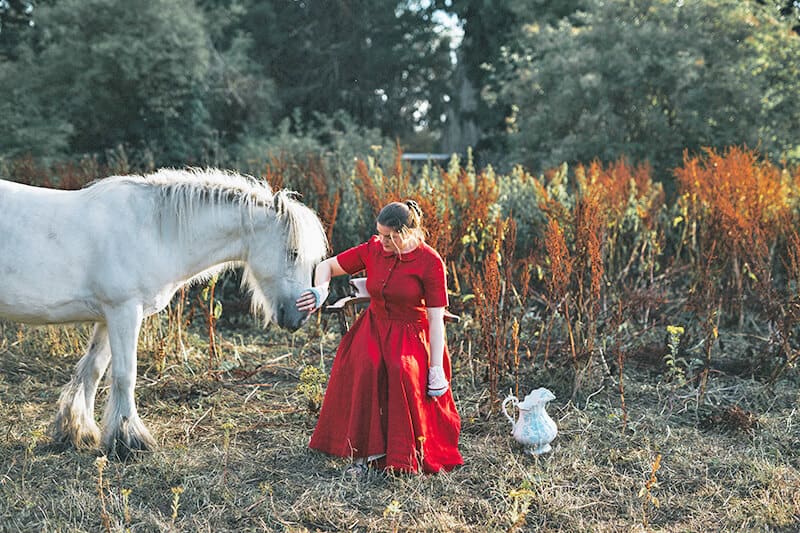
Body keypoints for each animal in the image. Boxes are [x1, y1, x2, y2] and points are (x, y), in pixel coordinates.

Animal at [0, 167, 328, 458]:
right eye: (293, 253)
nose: (300, 315)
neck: (153, 232)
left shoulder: (107, 317)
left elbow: (92, 370)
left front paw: (78, 432)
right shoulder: (124, 312)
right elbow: (124, 375)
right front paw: (129, 440)